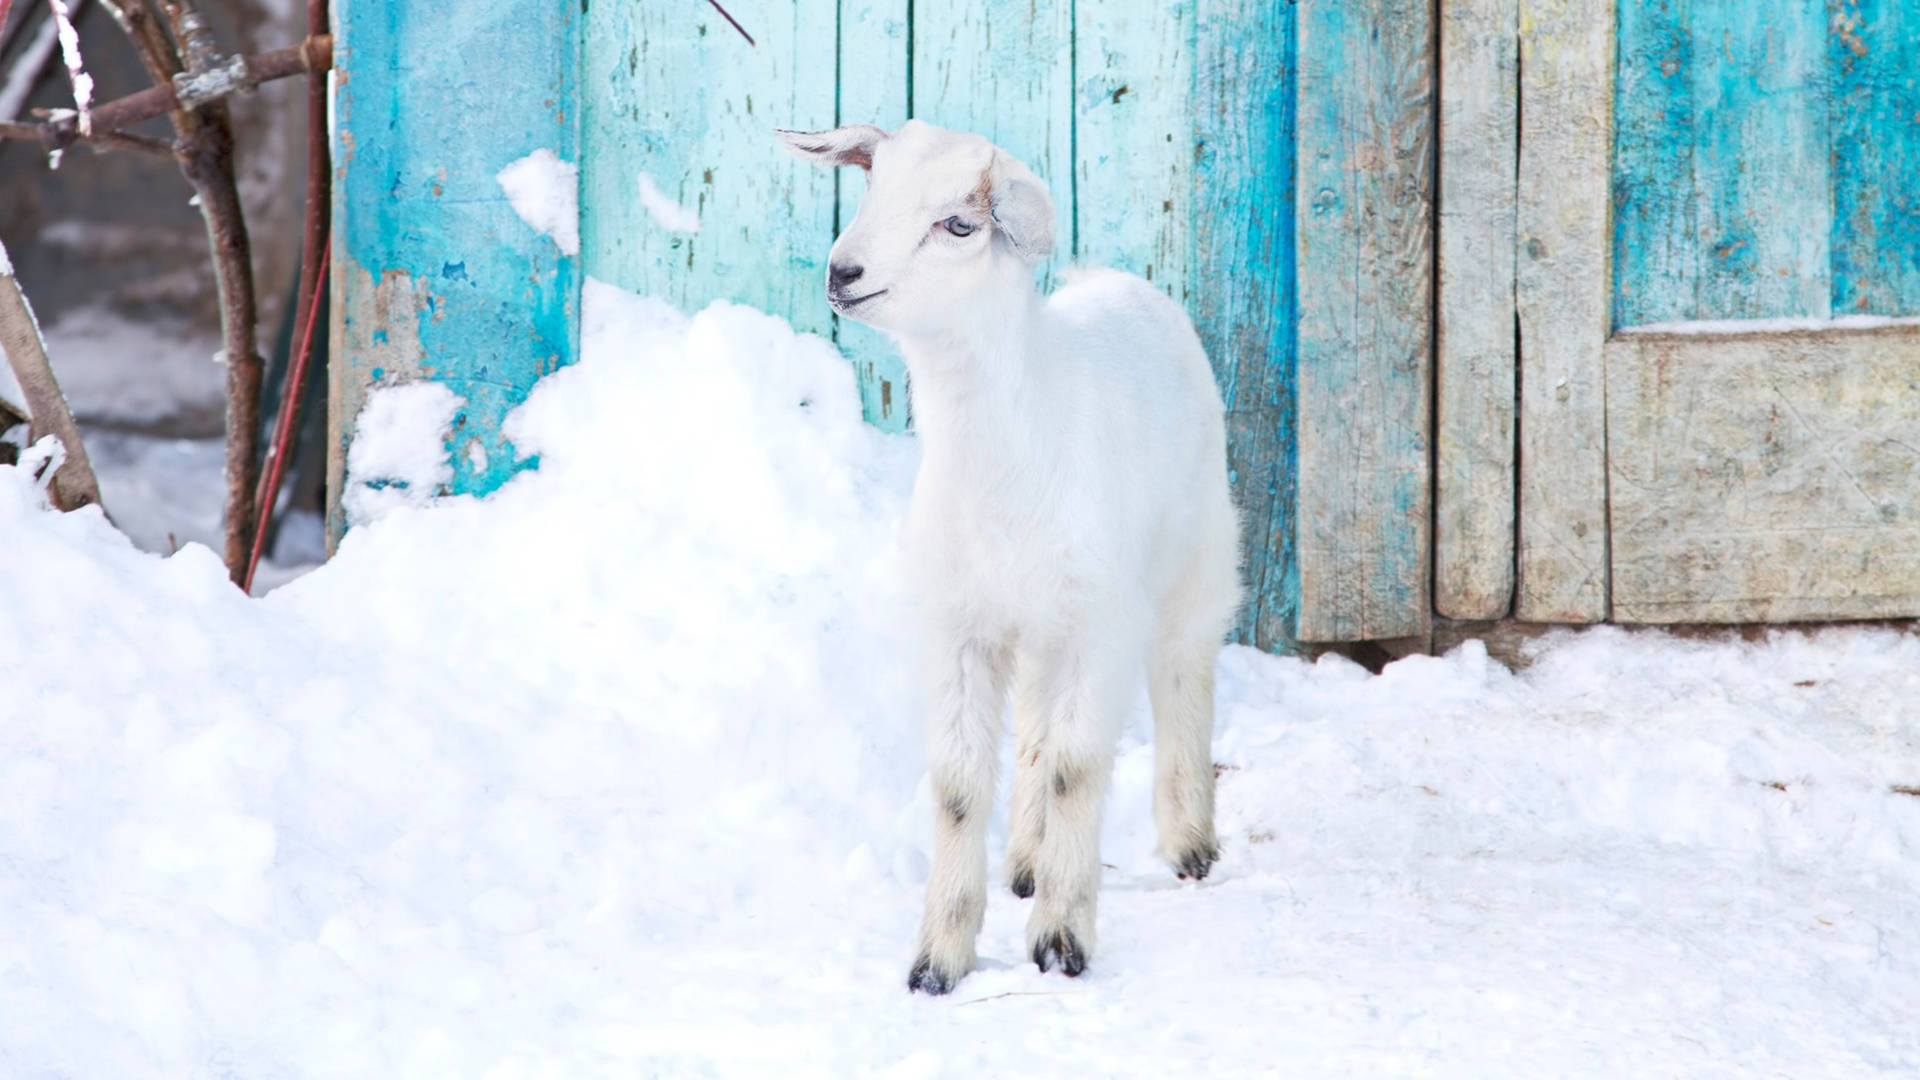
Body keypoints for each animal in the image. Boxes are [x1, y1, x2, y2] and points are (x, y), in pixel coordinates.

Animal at [779, 119, 1244, 991]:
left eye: (959, 224)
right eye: (871, 186)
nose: (842, 271)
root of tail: (1117, 282)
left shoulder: (1100, 624)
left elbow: (1076, 768)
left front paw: (1062, 940)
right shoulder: (961, 623)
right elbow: (960, 786)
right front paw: (939, 957)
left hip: (1196, 550)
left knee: (1182, 669)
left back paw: (1188, 840)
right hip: (1037, 622)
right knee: (1033, 720)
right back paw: (1025, 859)